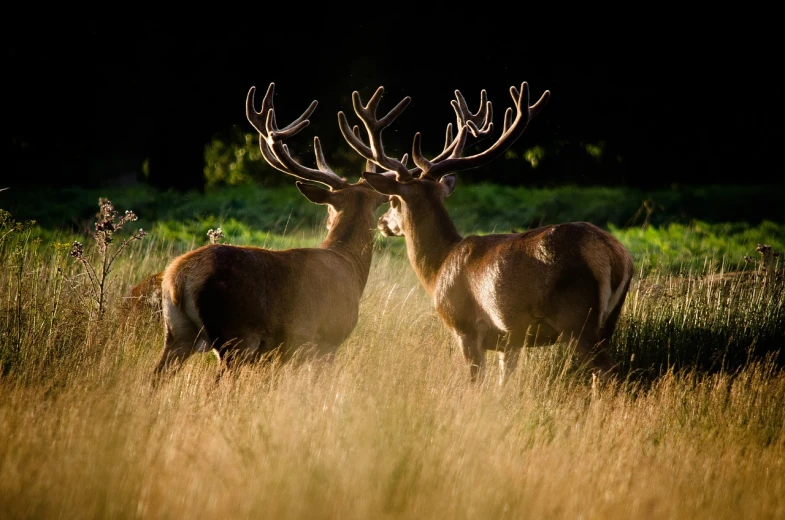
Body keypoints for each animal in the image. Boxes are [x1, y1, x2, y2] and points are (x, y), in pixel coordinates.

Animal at [152, 82, 388, 382]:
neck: (349, 264)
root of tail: (179, 278)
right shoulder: (327, 339)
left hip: (176, 332)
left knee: (156, 376)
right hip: (236, 335)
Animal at [336, 82, 632, 386]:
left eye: (394, 201)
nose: (382, 222)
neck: (438, 269)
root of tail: (614, 255)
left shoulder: (465, 327)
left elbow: (475, 381)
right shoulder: (510, 341)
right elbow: (504, 383)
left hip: (575, 316)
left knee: (610, 370)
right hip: (608, 319)